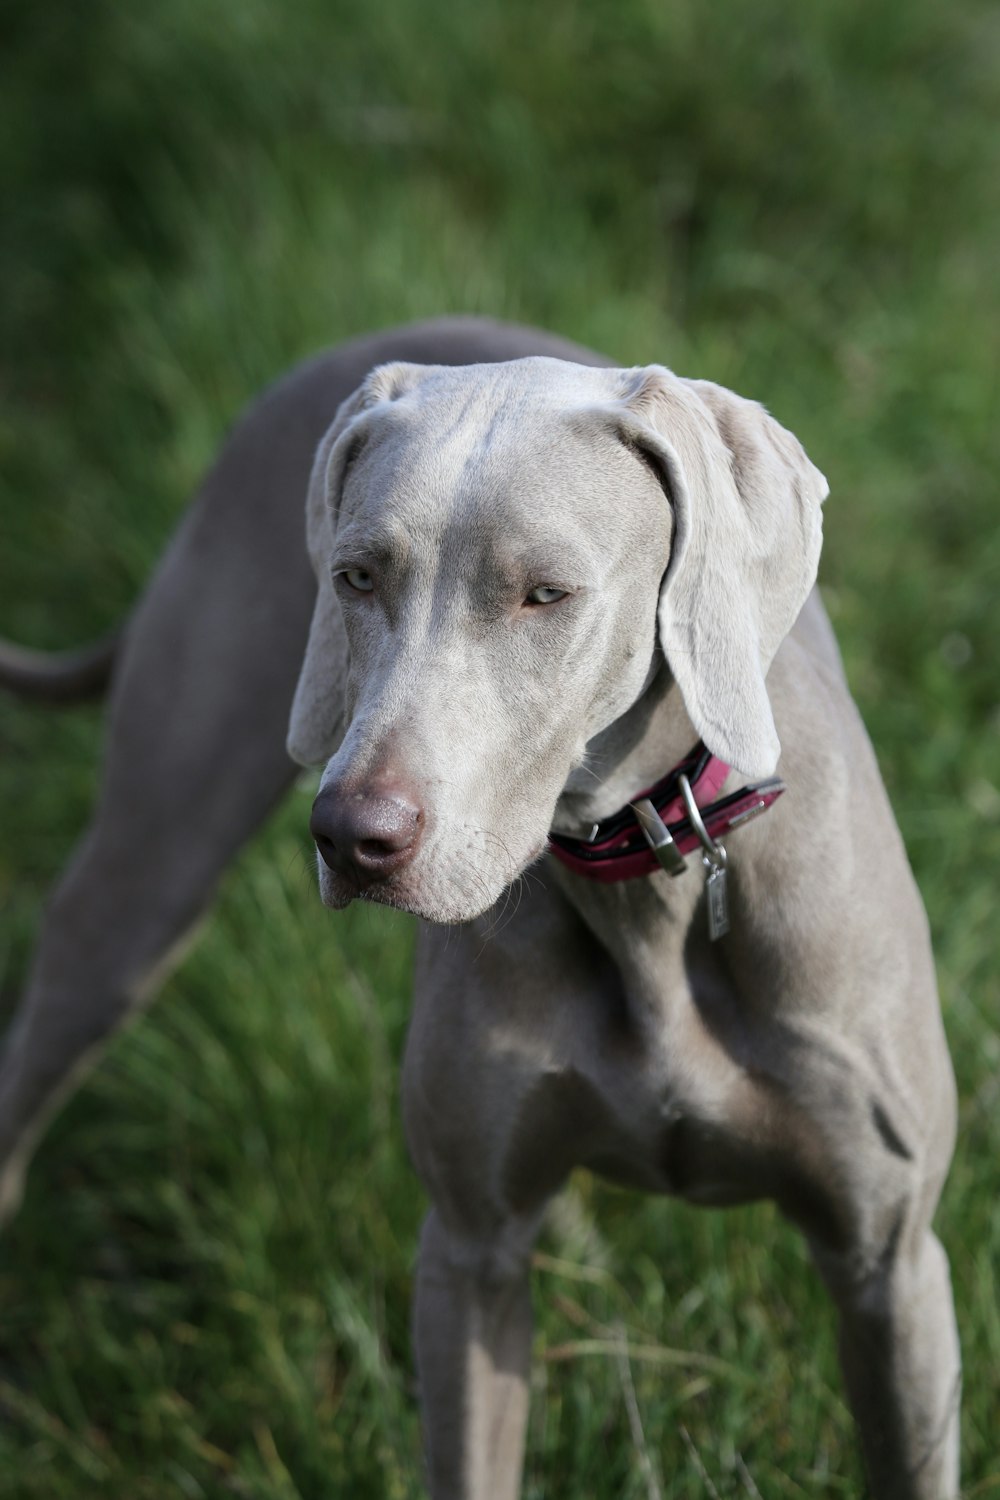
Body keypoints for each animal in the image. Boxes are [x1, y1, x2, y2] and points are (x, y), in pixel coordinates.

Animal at [3, 313, 965, 1488]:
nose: (351, 836)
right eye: (355, 578)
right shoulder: (468, 1252)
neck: (644, 888)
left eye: (544, 594)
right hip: (143, 872)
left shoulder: (889, 1263)